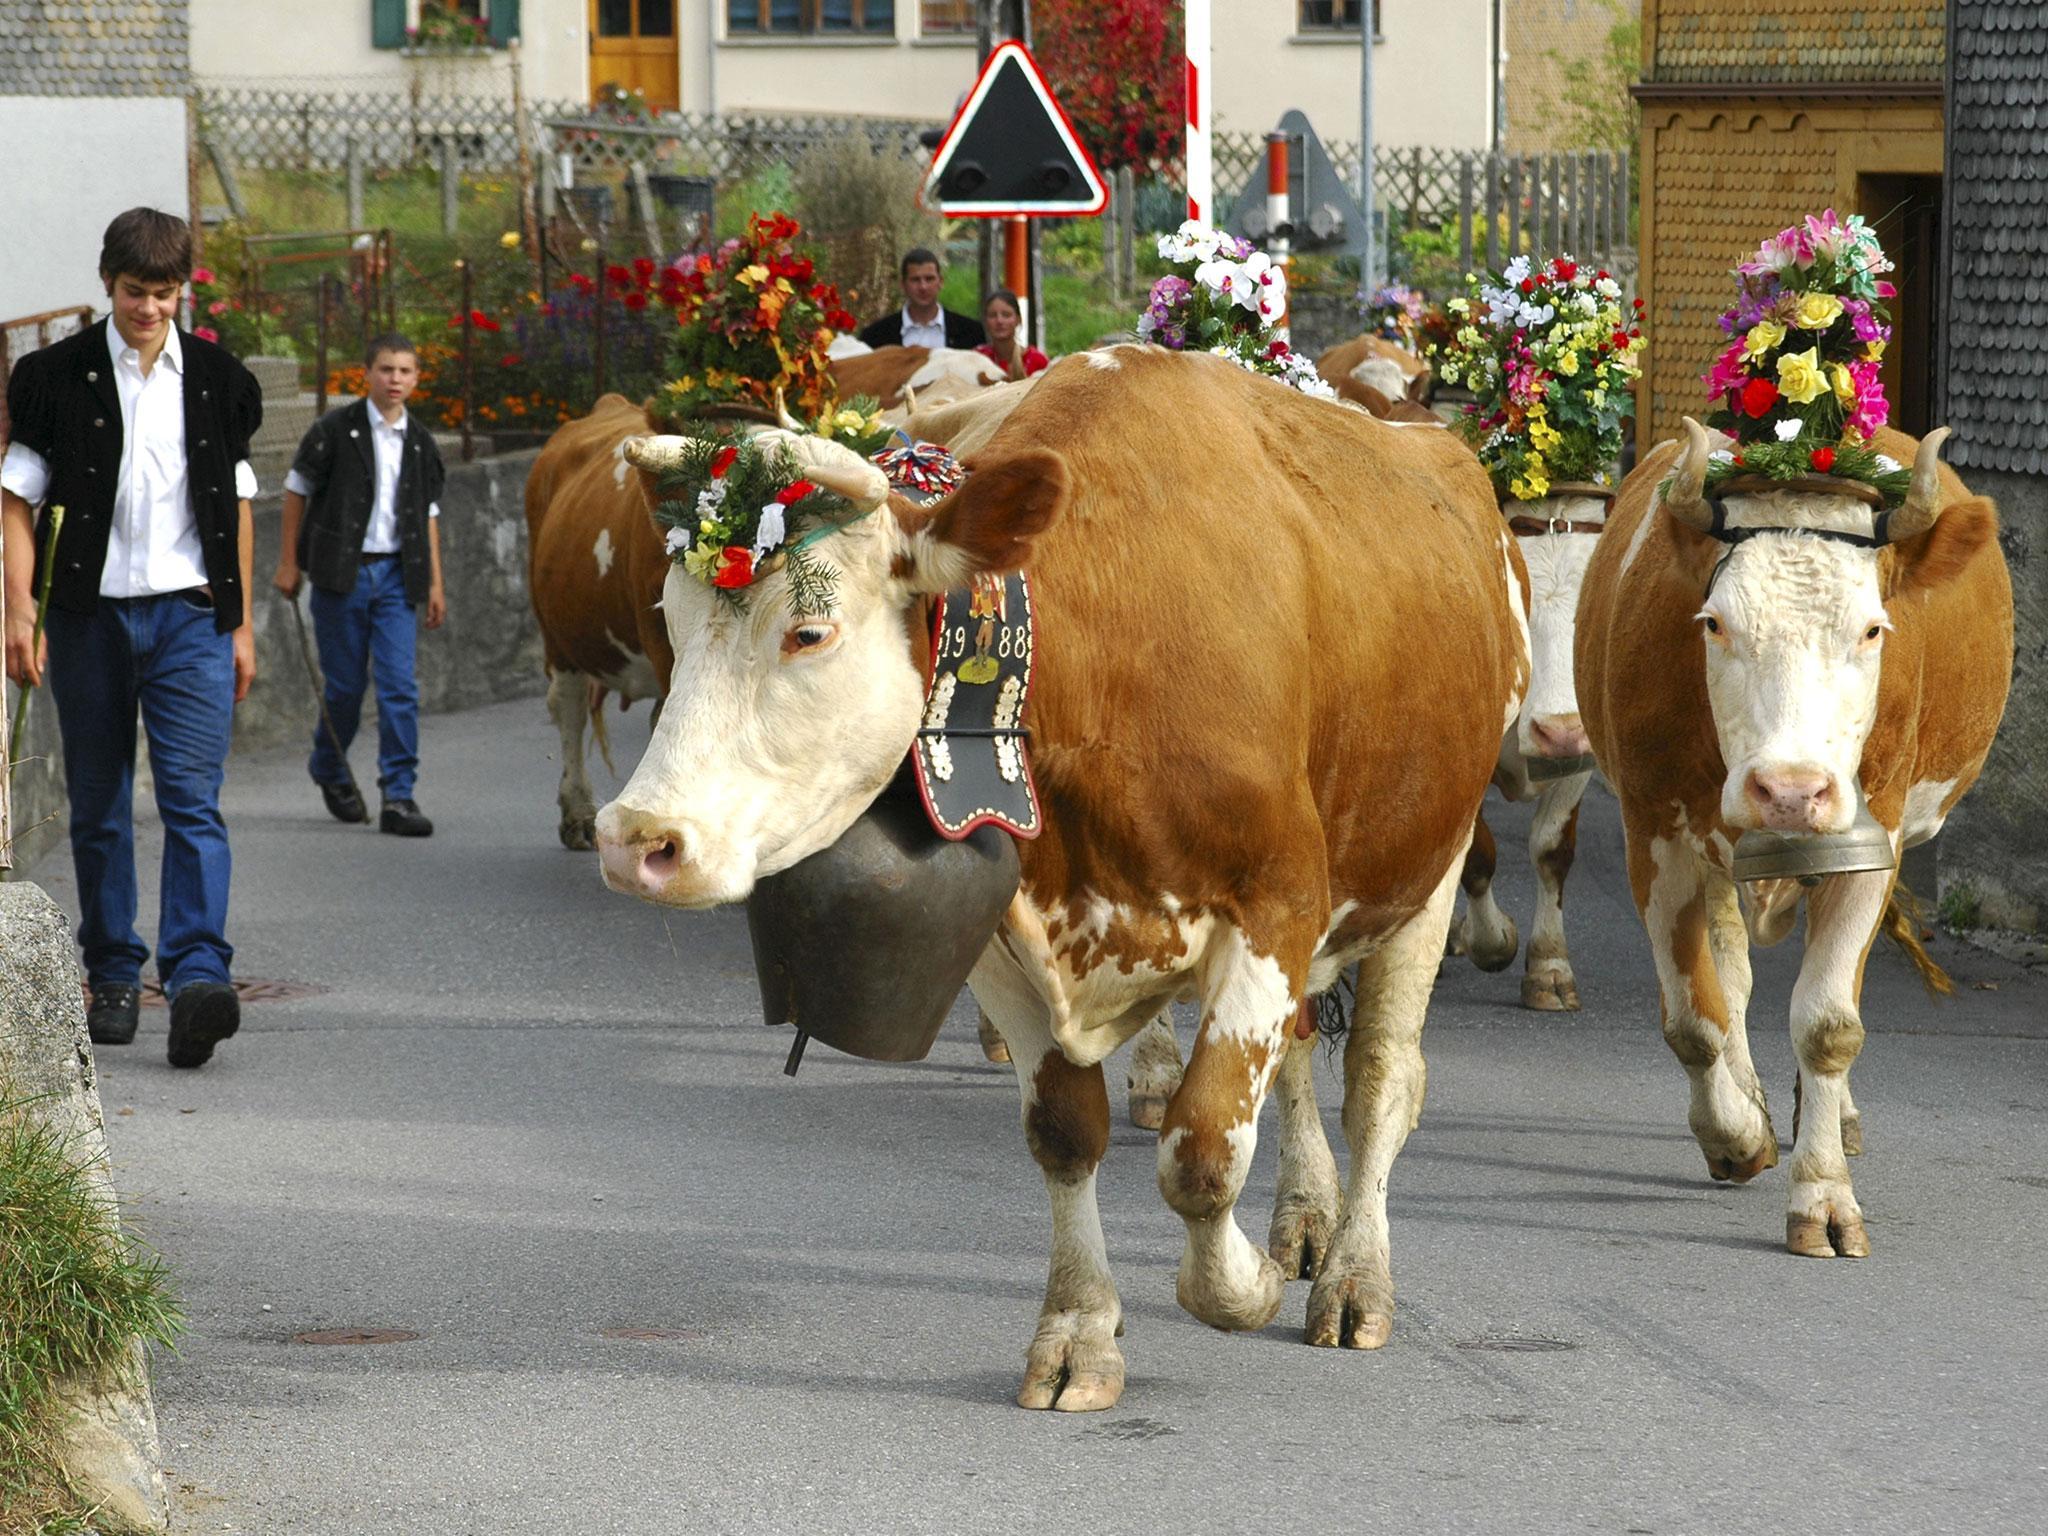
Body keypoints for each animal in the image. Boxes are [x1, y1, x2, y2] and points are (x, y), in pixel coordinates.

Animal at [1572, 207, 2007, 1261]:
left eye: (1874, 629)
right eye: (1714, 623)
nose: (1790, 790)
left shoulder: (1867, 836)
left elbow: (1830, 1021)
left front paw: (1824, 1194)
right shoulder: (1655, 831)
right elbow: (1696, 1014)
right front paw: (1736, 1136)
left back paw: (1827, 1116)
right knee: (1727, 979)